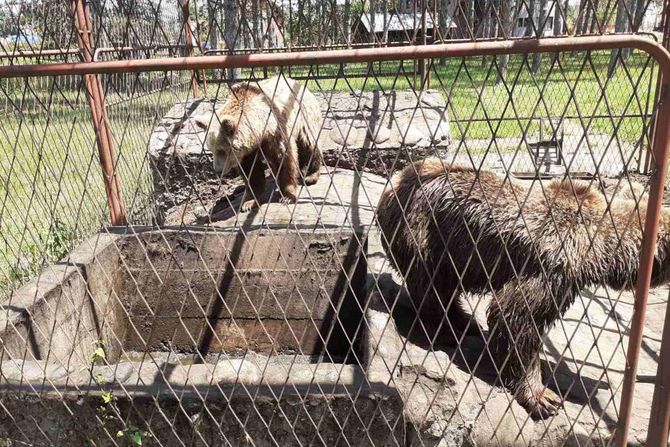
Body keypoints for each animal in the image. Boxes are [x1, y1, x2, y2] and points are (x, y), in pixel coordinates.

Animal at [194, 75, 322, 212]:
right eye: (211, 149)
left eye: (222, 150)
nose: (218, 170)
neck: (258, 132)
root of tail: (299, 84)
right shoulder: (247, 151)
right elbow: (251, 171)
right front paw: (248, 202)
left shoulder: (275, 131)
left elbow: (285, 158)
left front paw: (287, 196)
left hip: (304, 115)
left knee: (309, 144)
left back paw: (310, 175)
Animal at [376, 158, 670, 420]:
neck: (597, 245)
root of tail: (394, 182)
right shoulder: (552, 265)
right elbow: (516, 317)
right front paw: (542, 397)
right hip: (425, 233)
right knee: (432, 287)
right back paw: (447, 329)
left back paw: (465, 321)